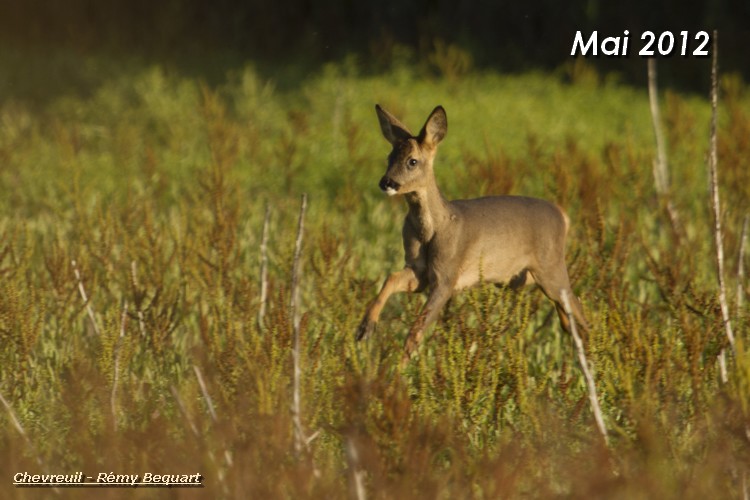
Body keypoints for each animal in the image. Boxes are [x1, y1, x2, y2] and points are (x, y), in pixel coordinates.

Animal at [356, 103, 592, 366]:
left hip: (551, 267)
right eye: (389, 157)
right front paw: (365, 329)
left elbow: (417, 330)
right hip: (533, 276)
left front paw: (396, 371)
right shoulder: (419, 271)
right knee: (569, 314)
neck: (433, 228)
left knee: (578, 309)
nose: (386, 182)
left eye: (412, 161)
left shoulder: (447, 276)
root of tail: (563, 215)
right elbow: (390, 278)